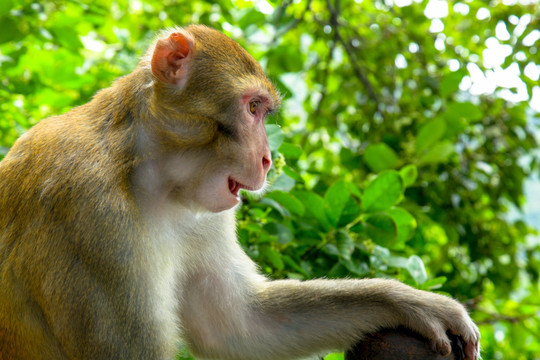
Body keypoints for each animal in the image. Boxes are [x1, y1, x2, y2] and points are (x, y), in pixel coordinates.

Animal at [0, 25, 480, 360]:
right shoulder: (89, 215)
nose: (267, 158)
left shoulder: (204, 216)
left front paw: (412, 303)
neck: (139, 168)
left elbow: (239, 328)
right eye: (252, 108)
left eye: (265, 112)